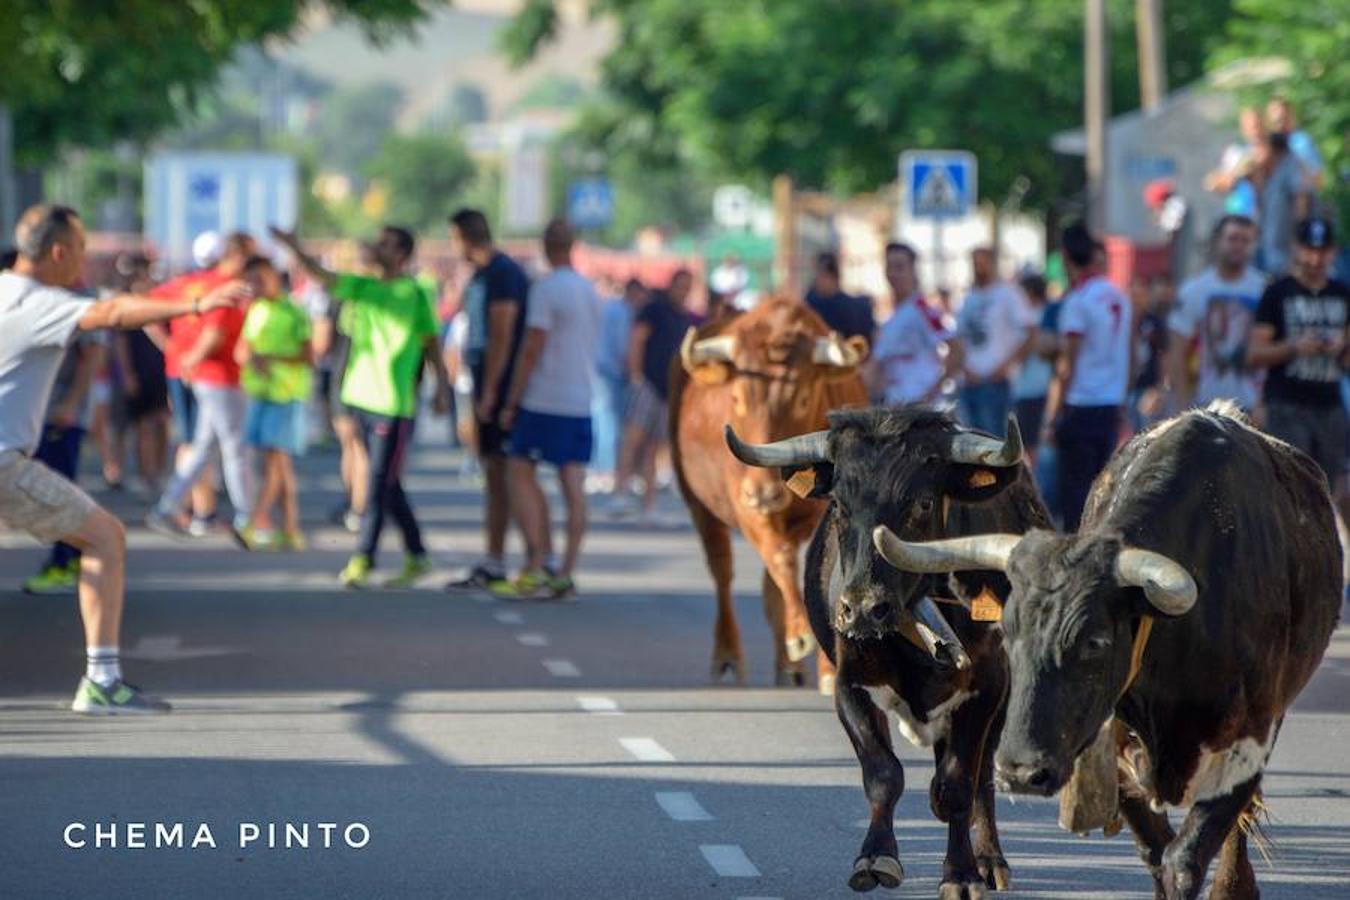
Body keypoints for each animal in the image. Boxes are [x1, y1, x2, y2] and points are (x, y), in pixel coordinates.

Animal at [669, 299, 869, 685]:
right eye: (736, 398)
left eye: (804, 399)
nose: (764, 493)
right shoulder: (746, 506)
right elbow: (780, 559)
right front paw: (801, 634)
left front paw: (823, 664)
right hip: (699, 505)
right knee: (723, 570)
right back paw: (729, 654)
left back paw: (788, 665)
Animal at [729, 407, 1053, 895]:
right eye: (839, 506)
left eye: (922, 503)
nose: (862, 608)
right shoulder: (850, 685)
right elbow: (883, 774)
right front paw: (875, 857)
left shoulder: (988, 687)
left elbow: (959, 783)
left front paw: (961, 874)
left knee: (980, 779)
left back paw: (990, 860)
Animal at [874, 404, 1339, 895]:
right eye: (1008, 633)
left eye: (1094, 641)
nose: (1020, 771)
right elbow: (1156, 851)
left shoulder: (1248, 738)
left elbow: (1187, 857)